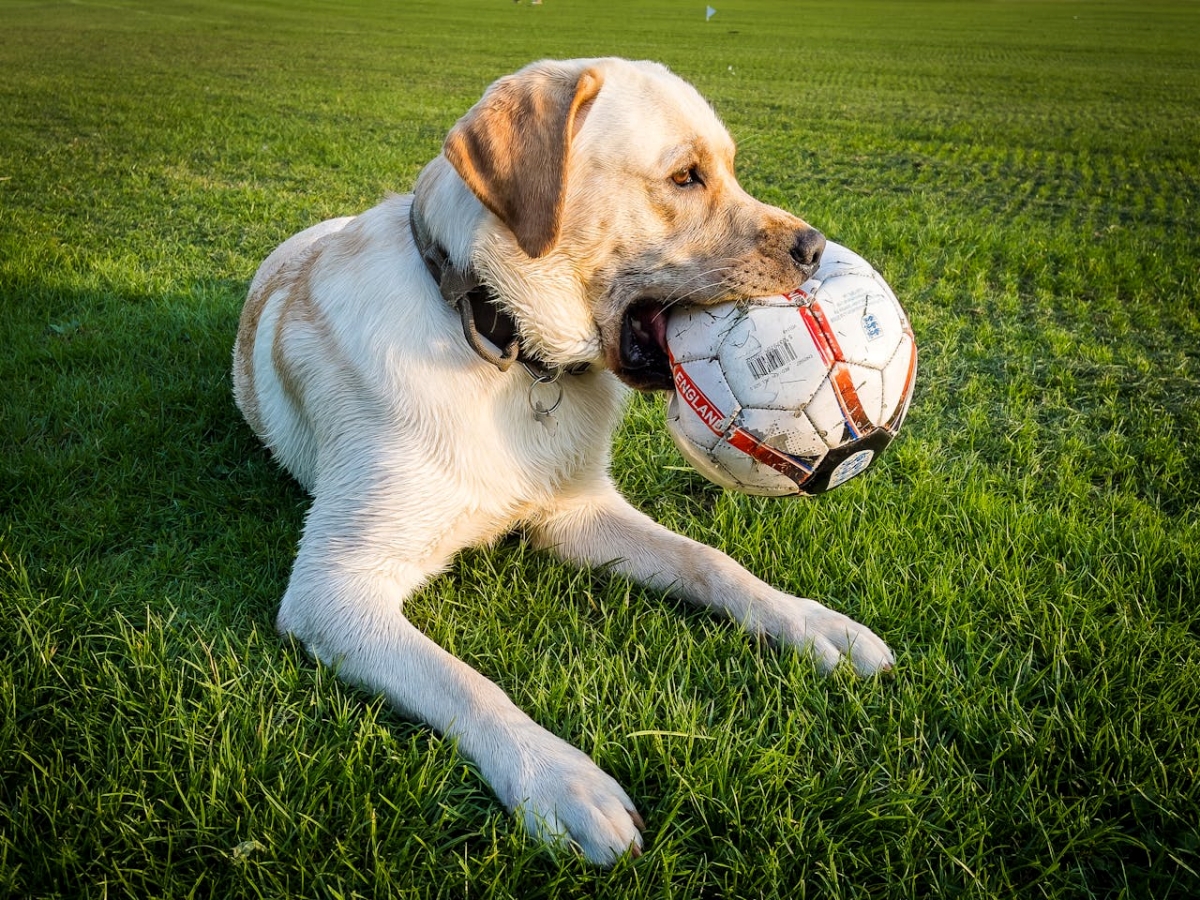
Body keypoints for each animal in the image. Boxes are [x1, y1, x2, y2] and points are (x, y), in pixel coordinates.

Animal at [234, 56, 892, 868]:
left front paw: (811, 623)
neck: (499, 341)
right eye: (685, 177)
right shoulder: (334, 586)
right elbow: (463, 682)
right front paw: (561, 781)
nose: (816, 248)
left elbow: (710, 560)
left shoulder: (576, 513)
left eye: (731, 168)